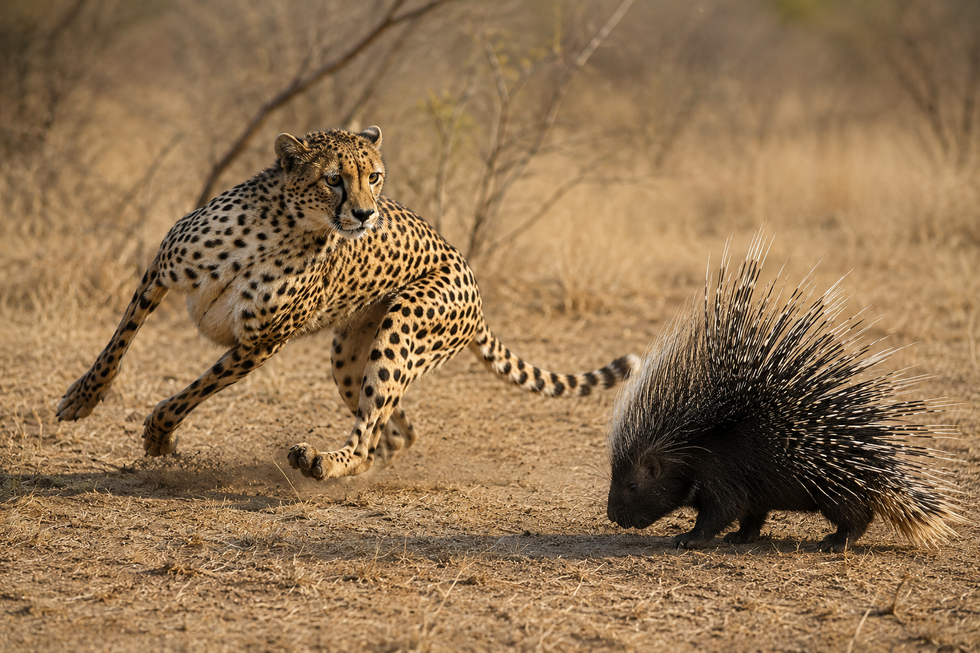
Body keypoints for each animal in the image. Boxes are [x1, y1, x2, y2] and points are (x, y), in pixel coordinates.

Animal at [57, 126, 639, 480]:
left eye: (374, 176)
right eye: (333, 178)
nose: (364, 214)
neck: (282, 227)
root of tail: (469, 273)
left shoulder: (260, 344)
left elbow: (192, 391)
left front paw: (159, 432)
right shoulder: (161, 270)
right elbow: (115, 346)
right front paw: (84, 398)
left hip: (401, 331)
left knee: (369, 437)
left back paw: (321, 461)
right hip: (349, 359)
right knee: (394, 430)